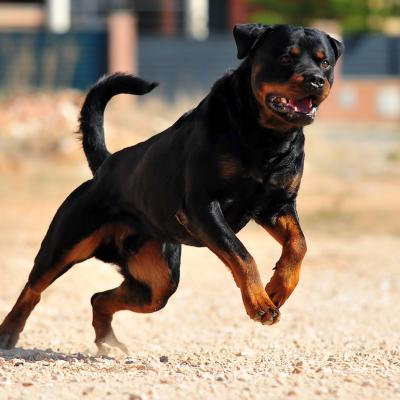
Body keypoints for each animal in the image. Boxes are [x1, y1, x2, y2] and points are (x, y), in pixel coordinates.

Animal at [0, 23, 344, 352]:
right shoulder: (202, 206)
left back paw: (107, 340)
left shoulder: (277, 205)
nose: (316, 80)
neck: (267, 137)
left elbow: (299, 245)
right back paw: (9, 332)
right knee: (34, 287)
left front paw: (278, 288)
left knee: (101, 297)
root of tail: (105, 166)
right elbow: (242, 254)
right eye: (286, 57)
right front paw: (260, 302)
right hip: (67, 243)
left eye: (324, 62)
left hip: (158, 280)